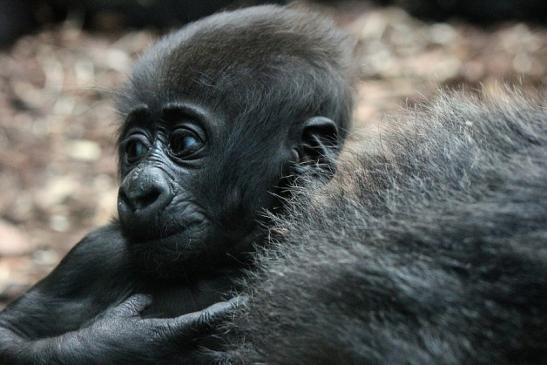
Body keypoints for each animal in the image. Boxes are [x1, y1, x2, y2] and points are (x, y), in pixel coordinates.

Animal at [0, 5, 356, 364]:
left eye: (184, 143)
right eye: (134, 149)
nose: (137, 192)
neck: (223, 261)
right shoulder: (93, 254)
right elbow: (9, 333)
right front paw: (125, 341)